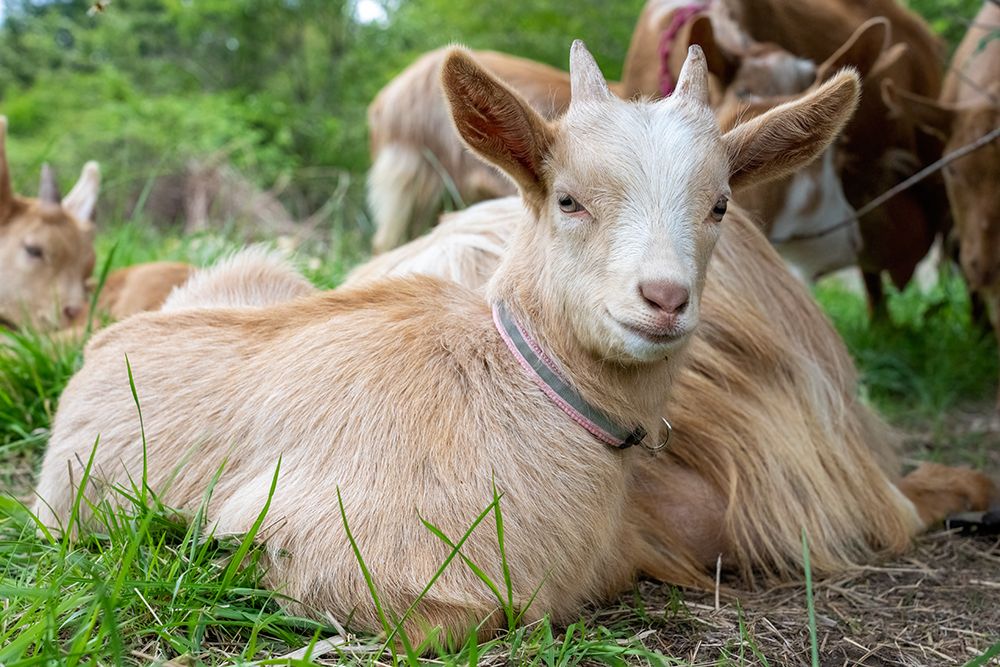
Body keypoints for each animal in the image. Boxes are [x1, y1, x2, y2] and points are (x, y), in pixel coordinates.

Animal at [36, 43, 874, 641]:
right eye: (568, 199)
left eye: (721, 204)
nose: (664, 299)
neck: (515, 384)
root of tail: (103, 345)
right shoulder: (324, 540)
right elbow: (463, 616)